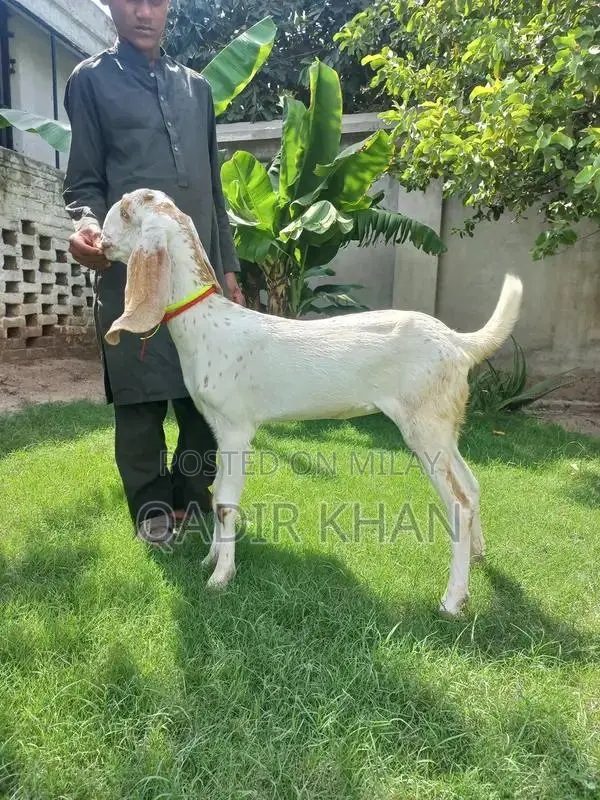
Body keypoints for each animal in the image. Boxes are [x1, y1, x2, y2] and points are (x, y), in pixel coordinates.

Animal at [101, 187, 523, 617]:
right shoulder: (217, 426)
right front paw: (210, 559)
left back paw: (453, 599)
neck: (207, 323)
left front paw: (220, 578)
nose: (98, 238)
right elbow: (216, 490)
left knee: (458, 502)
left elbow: (225, 501)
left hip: (423, 425)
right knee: (472, 485)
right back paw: (478, 558)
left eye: (126, 211)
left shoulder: (237, 427)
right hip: (443, 425)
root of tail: (457, 342)